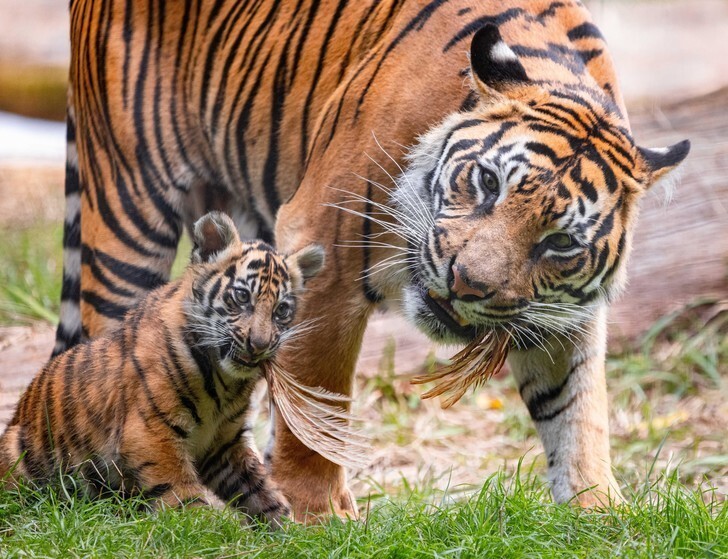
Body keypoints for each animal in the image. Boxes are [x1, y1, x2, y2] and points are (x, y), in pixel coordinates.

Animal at [57, 0, 688, 520]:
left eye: (559, 242)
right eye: (488, 183)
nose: (467, 284)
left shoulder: (559, 313)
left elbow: (578, 409)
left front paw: (598, 512)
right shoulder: (323, 249)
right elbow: (319, 398)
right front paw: (315, 514)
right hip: (128, 205)